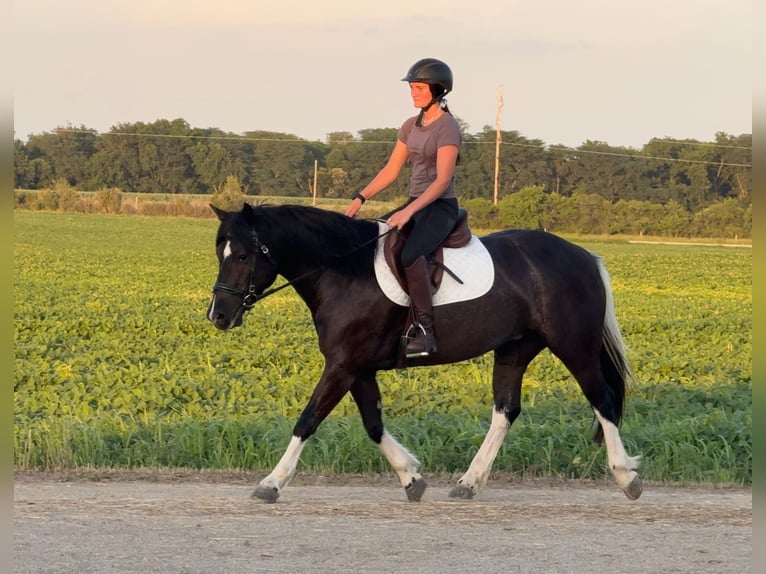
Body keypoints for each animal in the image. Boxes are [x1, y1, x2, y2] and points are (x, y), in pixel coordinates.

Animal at [206, 202, 643, 503]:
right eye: (219, 253)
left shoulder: (343, 365)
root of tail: (585, 256)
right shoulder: (357, 368)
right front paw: (411, 477)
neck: (344, 269)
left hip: (574, 345)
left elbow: (307, 420)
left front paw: (271, 483)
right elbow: (373, 425)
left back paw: (627, 476)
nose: (219, 315)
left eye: (243, 255)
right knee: (505, 411)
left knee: (602, 400)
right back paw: (469, 482)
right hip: (515, 349)